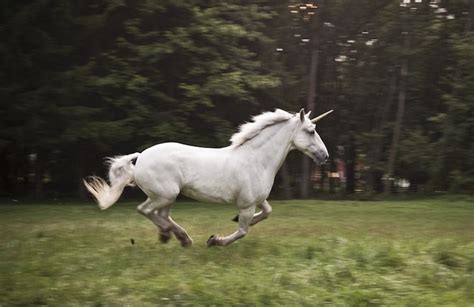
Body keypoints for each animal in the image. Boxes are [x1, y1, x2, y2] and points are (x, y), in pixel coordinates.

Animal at [83, 108, 332, 248]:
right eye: (311, 131)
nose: (325, 156)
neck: (256, 159)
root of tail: (140, 157)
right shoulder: (247, 204)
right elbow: (242, 231)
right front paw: (215, 241)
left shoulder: (258, 200)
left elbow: (267, 213)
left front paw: (234, 223)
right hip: (164, 195)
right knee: (146, 211)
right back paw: (173, 235)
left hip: (167, 197)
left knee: (160, 215)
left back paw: (178, 238)